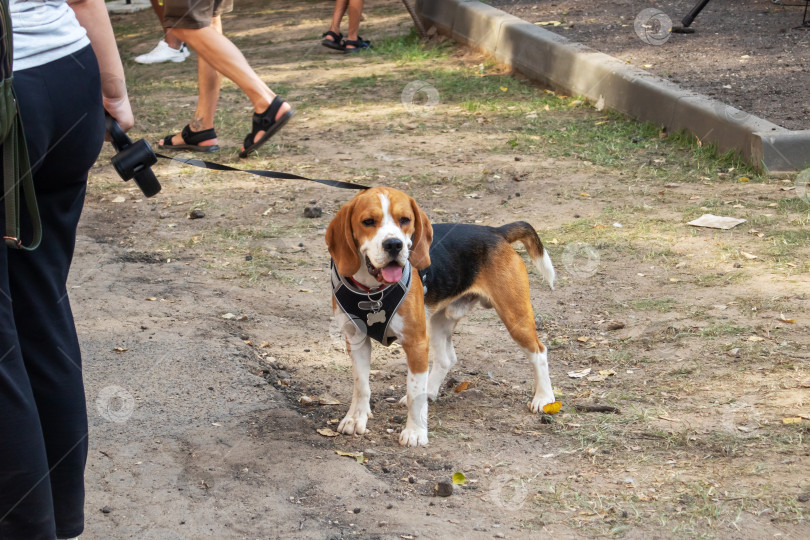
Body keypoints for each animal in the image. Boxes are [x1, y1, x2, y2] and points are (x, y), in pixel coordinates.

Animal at [326, 188, 552, 446]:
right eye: (368, 222)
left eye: (405, 220)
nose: (394, 245)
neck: (372, 292)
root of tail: (495, 231)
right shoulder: (356, 340)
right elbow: (361, 385)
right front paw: (356, 419)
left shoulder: (415, 341)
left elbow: (414, 391)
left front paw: (415, 432)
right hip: (437, 323)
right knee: (446, 359)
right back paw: (431, 391)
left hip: (515, 317)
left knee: (539, 352)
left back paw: (544, 398)